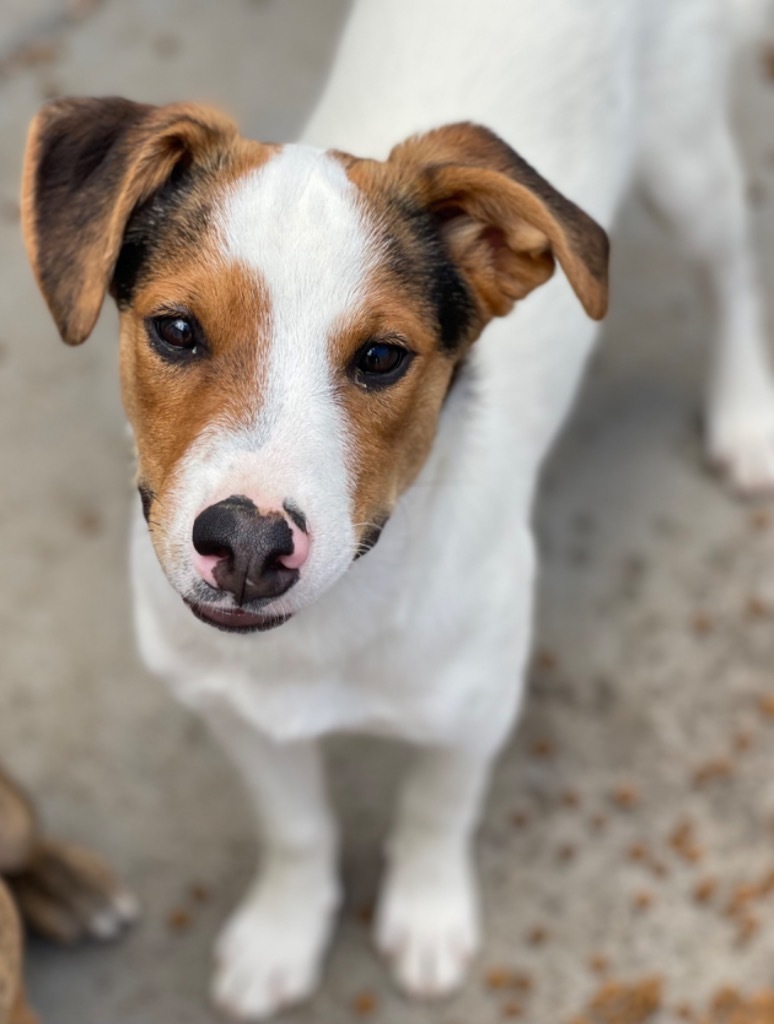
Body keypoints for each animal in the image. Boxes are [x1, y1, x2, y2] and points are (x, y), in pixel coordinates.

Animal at [16, 0, 774, 1015]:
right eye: (175, 330)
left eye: (381, 358)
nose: (247, 545)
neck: (334, 621)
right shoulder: (232, 711)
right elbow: (297, 829)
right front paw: (284, 933)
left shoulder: (477, 707)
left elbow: (434, 809)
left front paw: (427, 916)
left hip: (685, 156)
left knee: (730, 266)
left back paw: (745, 414)